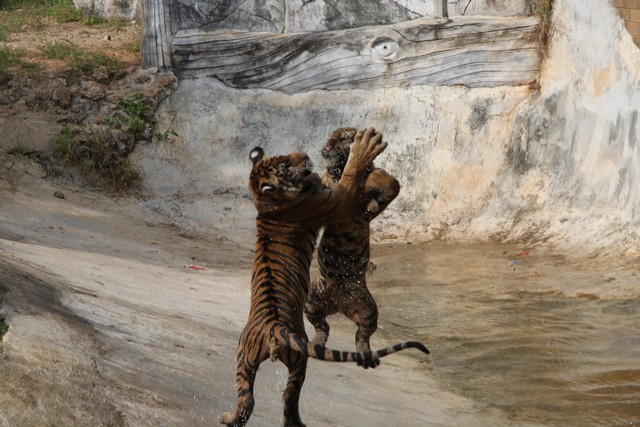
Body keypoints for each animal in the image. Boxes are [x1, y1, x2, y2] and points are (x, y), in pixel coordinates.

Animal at [305, 127, 400, 353]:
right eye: (331, 137)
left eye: (341, 138)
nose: (327, 145)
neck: (339, 170)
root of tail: (339, 306)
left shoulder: (387, 179)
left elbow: (385, 185)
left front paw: (368, 207)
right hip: (312, 298)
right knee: (322, 326)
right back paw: (316, 343)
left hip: (367, 309)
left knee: (362, 335)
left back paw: (364, 353)